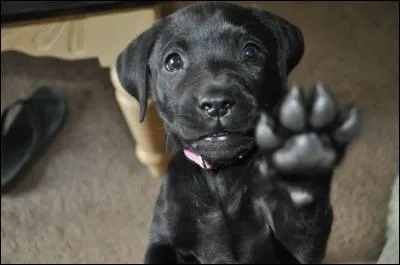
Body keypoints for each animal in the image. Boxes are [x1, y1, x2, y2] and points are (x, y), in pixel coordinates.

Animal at [115, 1, 360, 262]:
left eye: (250, 52)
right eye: (173, 62)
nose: (216, 104)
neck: (223, 178)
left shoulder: (302, 239)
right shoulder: (164, 237)